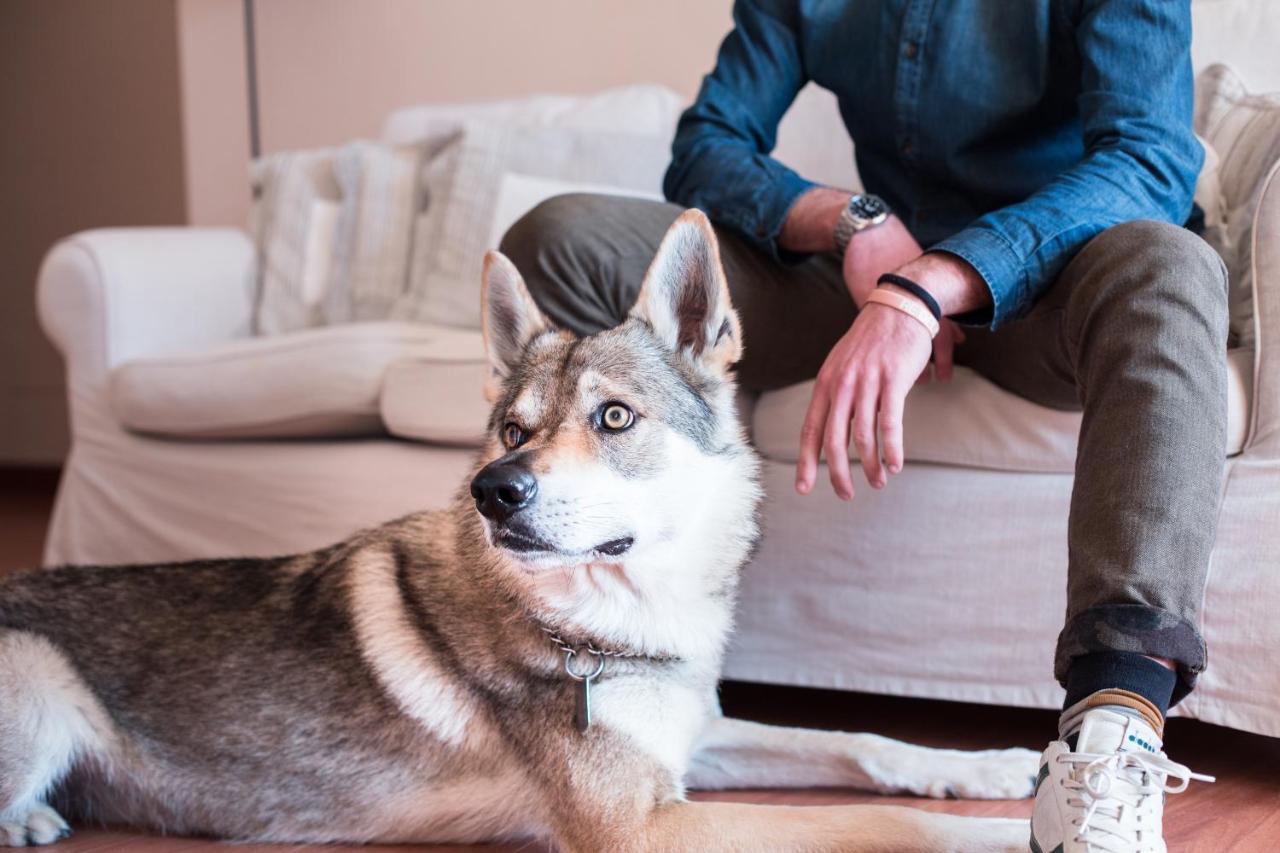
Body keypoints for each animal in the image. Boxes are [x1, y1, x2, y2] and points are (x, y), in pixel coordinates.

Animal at [0, 208, 1034, 845]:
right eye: (511, 430)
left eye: (613, 417)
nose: (493, 490)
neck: (621, 623)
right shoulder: (641, 822)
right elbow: (882, 824)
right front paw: (998, 832)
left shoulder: (692, 737)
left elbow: (862, 743)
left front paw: (994, 768)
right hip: (40, 680)